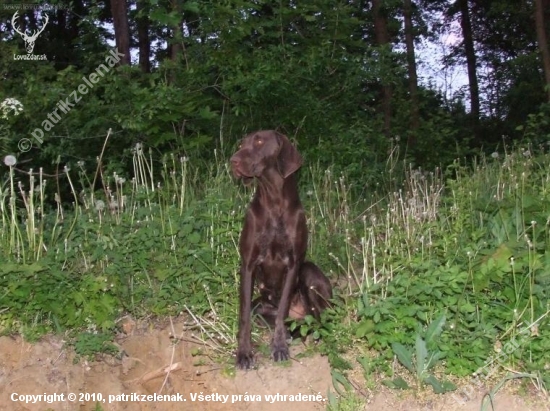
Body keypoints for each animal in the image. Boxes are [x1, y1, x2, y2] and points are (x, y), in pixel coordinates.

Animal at [230, 130, 332, 370]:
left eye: (259, 141)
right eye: (241, 144)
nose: (233, 161)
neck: (274, 200)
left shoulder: (293, 264)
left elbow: (283, 308)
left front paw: (278, 347)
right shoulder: (248, 264)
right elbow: (244, 315)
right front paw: (244, 353)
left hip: (309, 272)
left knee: (318, 318)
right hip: (261, 304)